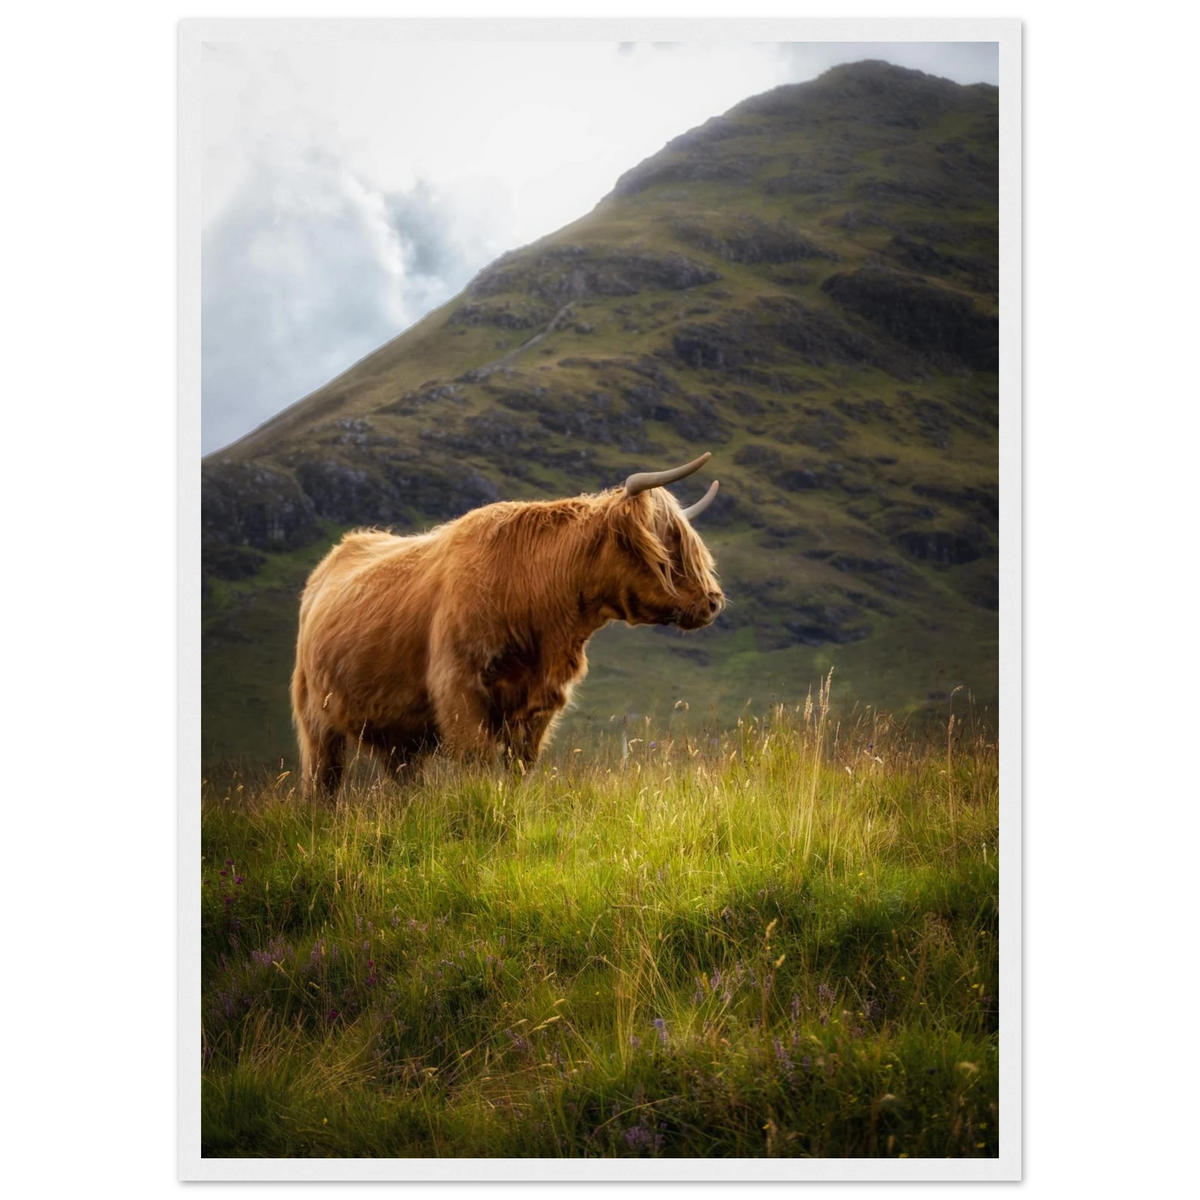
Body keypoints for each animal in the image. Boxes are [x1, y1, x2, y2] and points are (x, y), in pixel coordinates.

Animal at [290, 452, 724, 800]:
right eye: (666, 548)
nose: (714, 601)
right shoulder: (460, 692)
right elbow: (478, 764)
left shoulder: (539, 704)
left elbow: (519, 766)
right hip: (316, 720)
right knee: (323, 782)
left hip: (396, 733)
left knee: (403, 780)